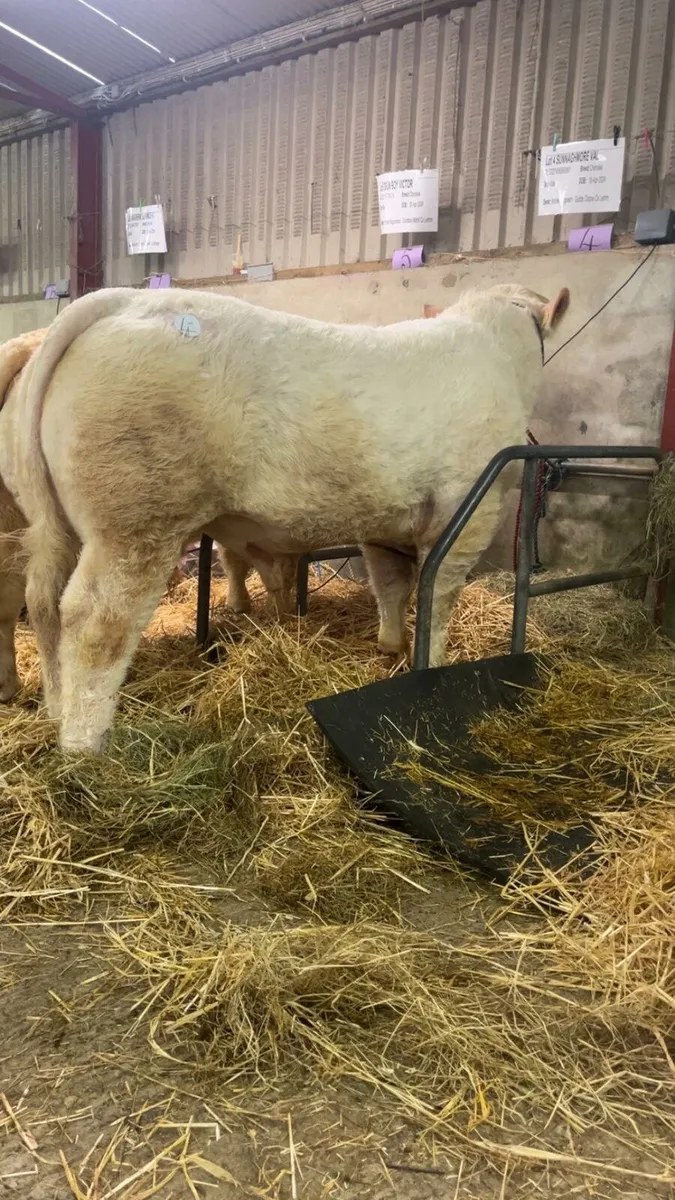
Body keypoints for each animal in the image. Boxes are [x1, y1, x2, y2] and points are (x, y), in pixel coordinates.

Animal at [6, 282, 569, 753]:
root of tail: (120, 300)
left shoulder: (384, 524)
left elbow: (389, 585)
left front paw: (390, 647)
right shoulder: (469, 512)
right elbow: (439, 594)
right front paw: (430, 663)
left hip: (60, 522)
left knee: (44, 601)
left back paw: (55, 709)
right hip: (138, 519)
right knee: (97, 619)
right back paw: (84, 743)